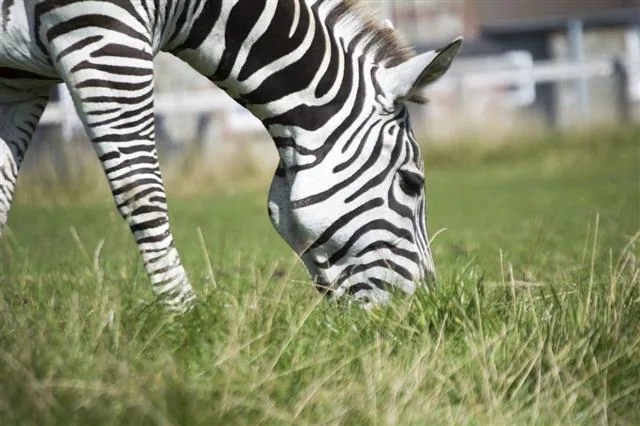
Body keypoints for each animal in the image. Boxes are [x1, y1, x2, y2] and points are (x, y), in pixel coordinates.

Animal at [0, 0, 462, 311]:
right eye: (411, 183)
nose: (420, 310)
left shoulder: (20, 77)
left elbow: (3, 193)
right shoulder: (104, 32)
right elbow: (142, 189)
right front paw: (184, 320)